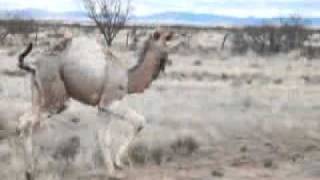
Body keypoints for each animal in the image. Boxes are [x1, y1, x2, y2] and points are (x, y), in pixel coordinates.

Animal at [16, 29, 172, 179]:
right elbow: (140, 121)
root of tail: (34, 66)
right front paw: (118, 164)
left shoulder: (103, 108)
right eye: (166, 39)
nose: (168, 59)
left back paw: (28, 172)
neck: (129, 79)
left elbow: (103, 137)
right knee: (29, 123)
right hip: (56, 99)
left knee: (23, 120)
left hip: (38, 94)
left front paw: (111, 172)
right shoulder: (111, 101)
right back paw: (29, 172)